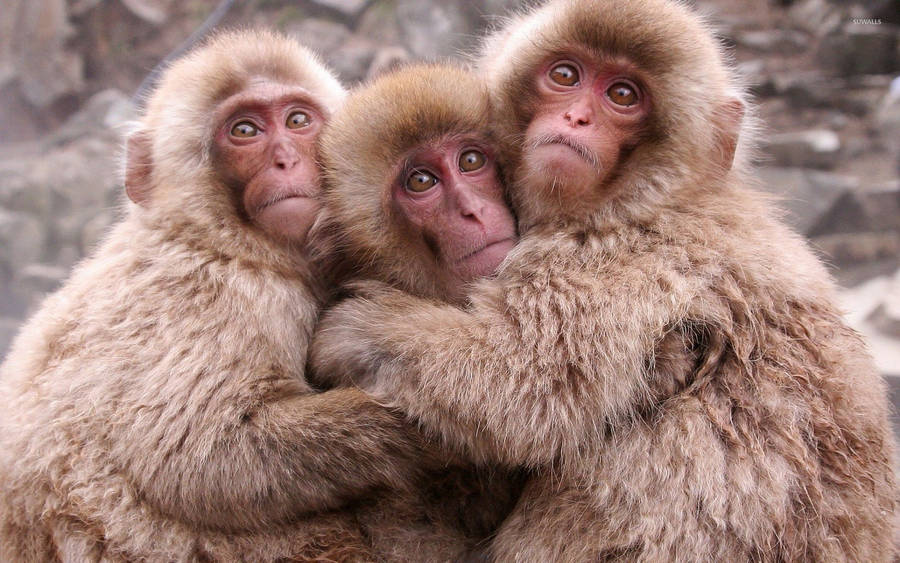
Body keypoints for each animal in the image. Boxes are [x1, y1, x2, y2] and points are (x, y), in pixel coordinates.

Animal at [0, 29, 496, 562]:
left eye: (297, 120)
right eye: (244, 130)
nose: (286, 159)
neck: (224, 241)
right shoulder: (222, 295)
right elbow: (200, 459)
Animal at [309, 1, 899, 561]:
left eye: (622, 95)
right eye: (566, 75)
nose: (577, 118)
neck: (642, 197)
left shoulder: (620, 258)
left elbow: (519, 381)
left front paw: (356, 328)